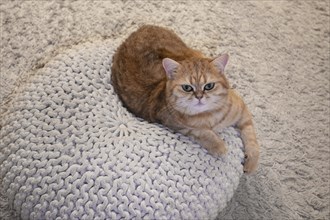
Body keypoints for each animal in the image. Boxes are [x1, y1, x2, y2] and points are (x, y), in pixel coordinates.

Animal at [112, 25, 260, 174]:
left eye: (209, 86)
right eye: (187, 88)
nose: (199, 96)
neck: (211, 116)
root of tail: (142, 28)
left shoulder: (242, 111)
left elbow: (251, 137)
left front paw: (251, 162)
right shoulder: (178, 125)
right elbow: (204, 133)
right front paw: (219, 146)